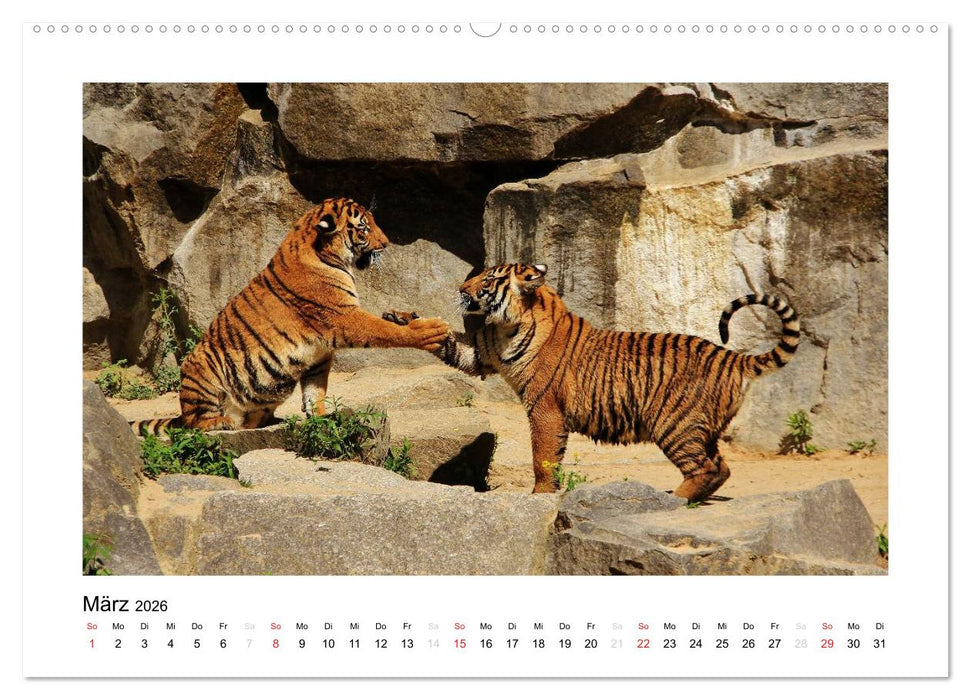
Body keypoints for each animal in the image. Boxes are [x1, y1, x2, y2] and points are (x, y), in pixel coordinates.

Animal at [132, 197, 449, 436]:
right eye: (364, 227)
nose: (386, 244)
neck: (325, 252)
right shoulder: (344, 317)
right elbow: (384, 330)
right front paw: (429, 330)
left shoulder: (319, 354)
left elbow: (315, 389)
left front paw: (319, 415)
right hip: (201, 369)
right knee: (193, 424)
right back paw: (220, 422)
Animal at [384, 263, 799, 502]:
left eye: (486, 278)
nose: (460, 288)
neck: (507, 326)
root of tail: (733, 356)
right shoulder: (481, 352)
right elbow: (450, 342)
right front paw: (403, 319)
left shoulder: (544, 408)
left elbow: (543, 458)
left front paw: (540, 495)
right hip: (698, 427)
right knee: (721, 468)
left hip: (675, 423)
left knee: (706, 468)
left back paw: (672, 498)